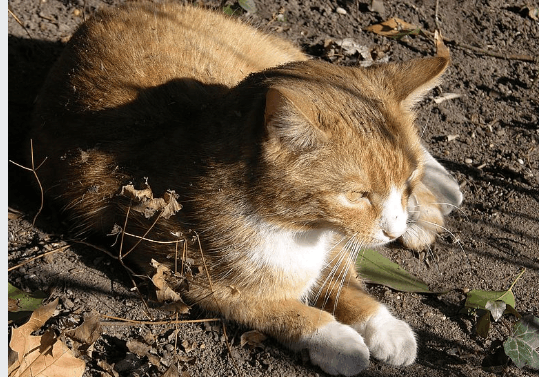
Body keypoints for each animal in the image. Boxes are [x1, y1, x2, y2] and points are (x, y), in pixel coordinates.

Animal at [31, 2, 464, 374]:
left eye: (405, 184)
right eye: (357, 196)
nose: (393, 229)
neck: (296, 229)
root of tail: (113, 8)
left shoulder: (333, 250)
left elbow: (347, 286)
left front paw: (386, 328)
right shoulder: (196, 282)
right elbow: (278, 308)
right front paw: (338, 341)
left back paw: (439, 198)